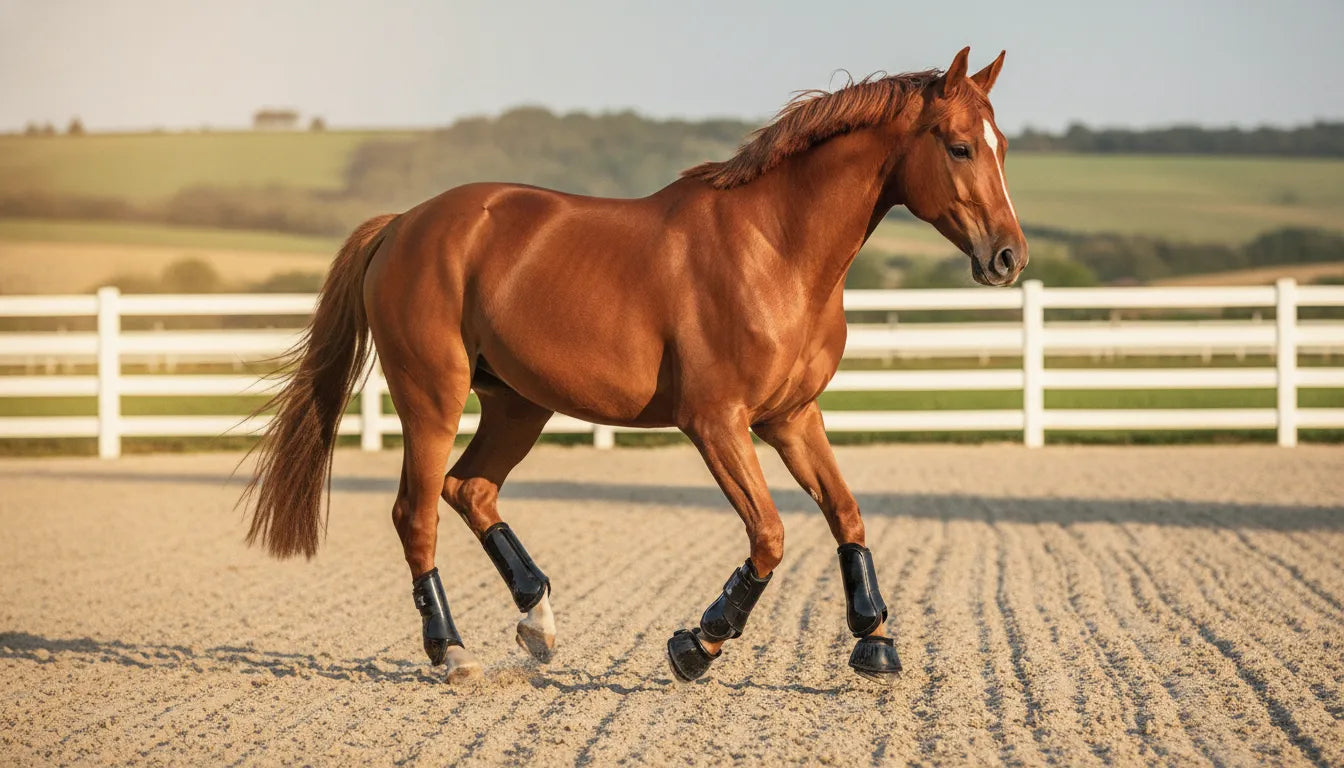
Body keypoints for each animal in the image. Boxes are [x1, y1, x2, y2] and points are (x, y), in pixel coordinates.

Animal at [243, 46, 1026, 685]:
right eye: (960, 147)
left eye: (1004, 146)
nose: (1008, 257)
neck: (775, 249)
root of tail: (404, 224)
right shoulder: (716, 423)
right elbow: (770, 535)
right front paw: (697, 644)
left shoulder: (792, 418)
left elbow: (847, 515)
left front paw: (874, 640)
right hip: (433, 397)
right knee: (418, 510)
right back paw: (453, 651)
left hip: (518, 403)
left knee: (471, 489)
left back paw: (538, 623)